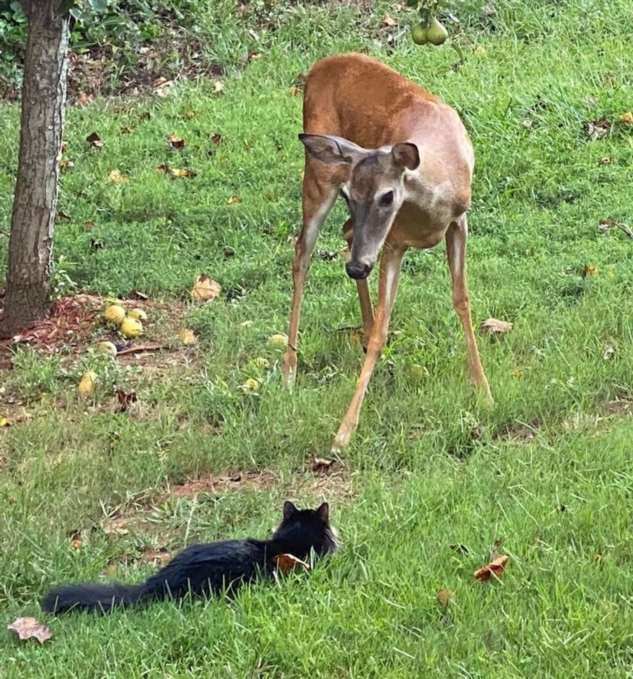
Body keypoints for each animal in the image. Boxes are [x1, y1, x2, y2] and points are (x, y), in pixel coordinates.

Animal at [282, 53, 494, 454]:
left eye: (387, 196)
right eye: (352, 194)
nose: (355, 269)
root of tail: (318, 66)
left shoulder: (459, 221)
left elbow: (462, 299)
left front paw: (483, 391)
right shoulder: (393, 243)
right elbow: (384, 326)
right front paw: (343, 433)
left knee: (346, 234)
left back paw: (359, 327)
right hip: (318, 177)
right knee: (302, 252)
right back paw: (289, 368)